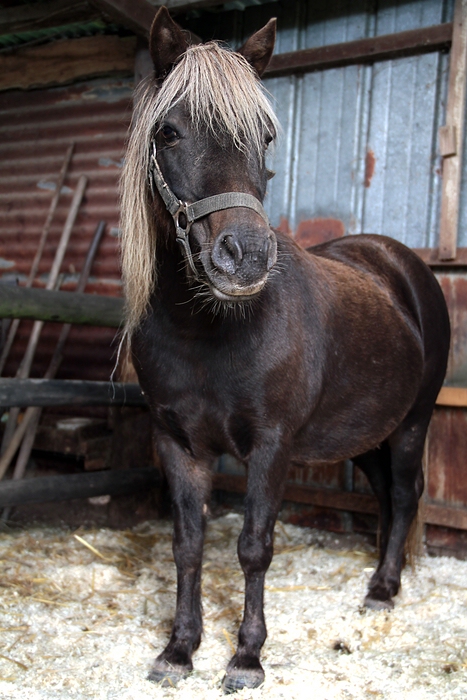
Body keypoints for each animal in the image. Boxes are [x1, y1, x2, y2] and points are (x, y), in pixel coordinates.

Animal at [119, 8, 450, 692]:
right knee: (387, 497)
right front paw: (179, 649)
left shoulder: (271, 446)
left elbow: (253, 547)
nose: (244, 256)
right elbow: (187, 545)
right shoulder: (178, 445)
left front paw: (246, 657)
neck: (205, 333)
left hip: (413, 422)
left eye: (265, 136)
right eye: (168, 131)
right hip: (367, 436)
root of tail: (401, 264)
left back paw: (382, 590)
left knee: (406, 495)